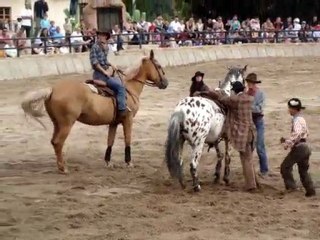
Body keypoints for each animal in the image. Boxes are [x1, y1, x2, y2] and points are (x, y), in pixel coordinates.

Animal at [21, 50, 169, 172]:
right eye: (159, 66)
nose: (165, 83)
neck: (129, 89)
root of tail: (52, 89)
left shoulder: (113, 123)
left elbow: (110, 141)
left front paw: (108, 162)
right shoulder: (128, 119)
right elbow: (128, 139)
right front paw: (129, 163)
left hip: (57, 124)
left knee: (53, 142)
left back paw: (61, 165)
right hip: (66, 124)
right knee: (58, 142)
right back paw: (63, 168)